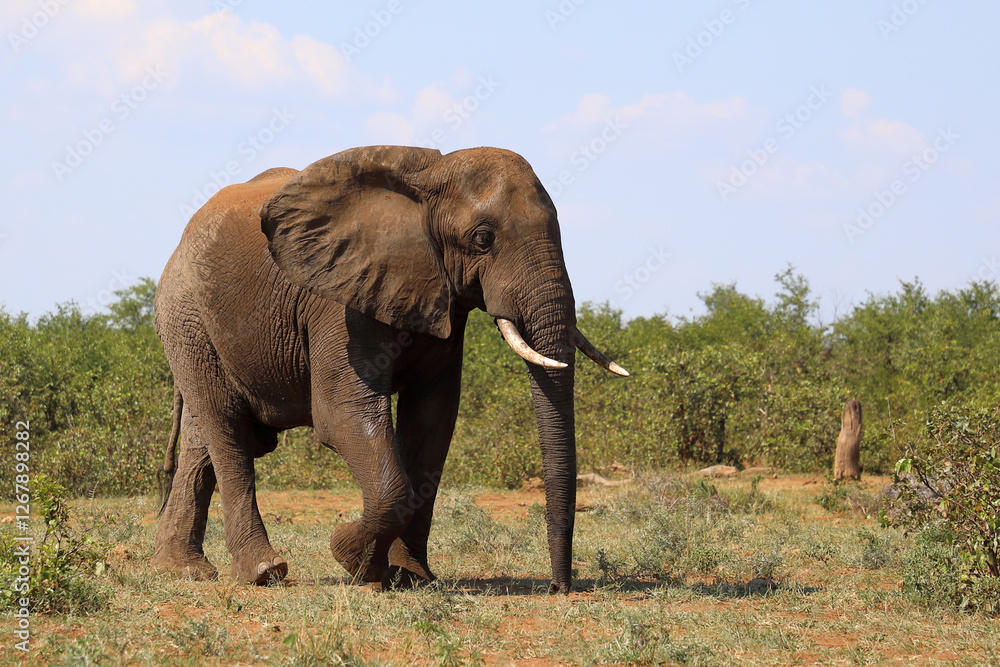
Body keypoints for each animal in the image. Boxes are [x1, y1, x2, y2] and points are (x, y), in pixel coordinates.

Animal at [152, 145, 628, 594]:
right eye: (483, 238)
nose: (558, 587)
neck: (429, 179)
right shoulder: (339, 302)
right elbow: (342, 415)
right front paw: (352, 557)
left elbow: (432, 421)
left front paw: (412, 577)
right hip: (187, 319)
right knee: (227, 431)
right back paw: (264, 572)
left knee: (205, 443)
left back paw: (183, 570)